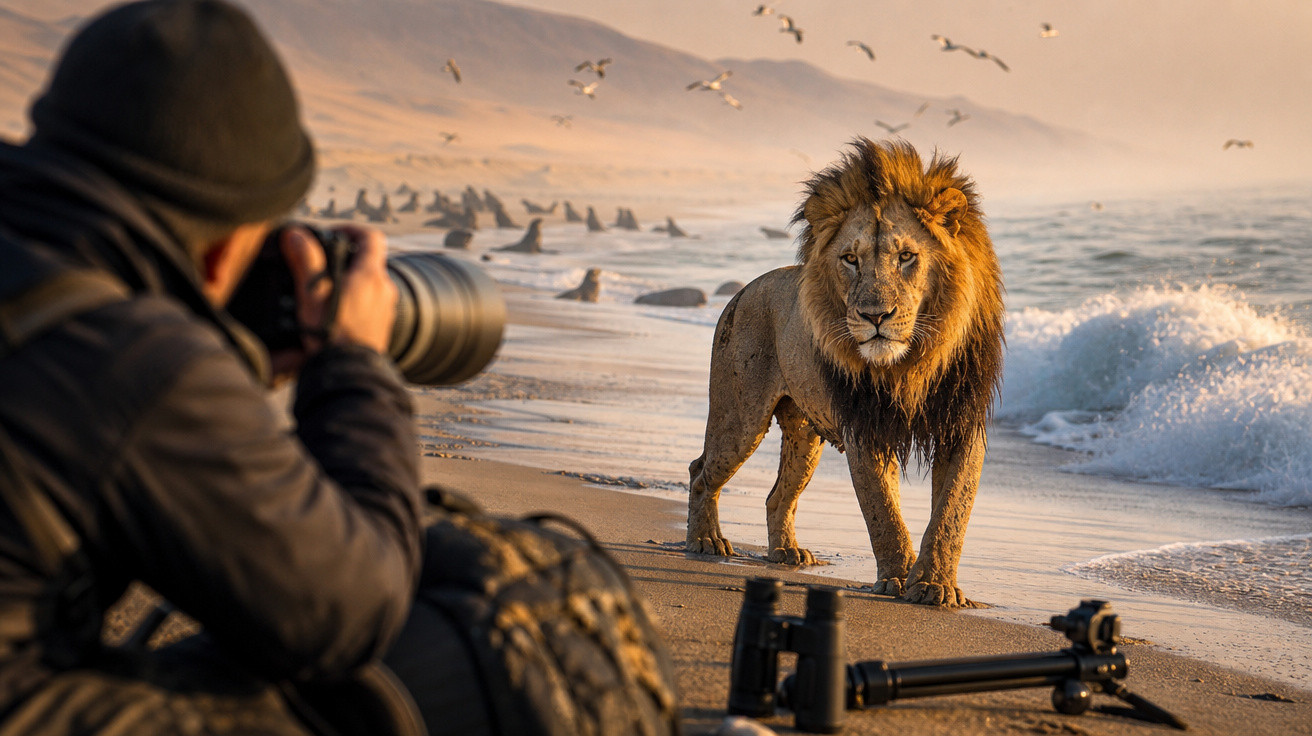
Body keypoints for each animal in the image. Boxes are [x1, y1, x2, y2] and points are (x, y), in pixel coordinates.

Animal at [685, 139, 1004, 607]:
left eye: (907, 257)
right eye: (850, 259)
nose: (875, 315)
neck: (909, 365)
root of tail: (743, 289)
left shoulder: (961, 424)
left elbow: (951, 511)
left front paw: (935, 584)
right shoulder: (865, 428)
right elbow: (882, 511)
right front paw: (897, 577)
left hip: (804, 437)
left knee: (776, 496)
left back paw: (787, 552)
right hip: (740, 421)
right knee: (700, 470)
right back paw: (705, 540)